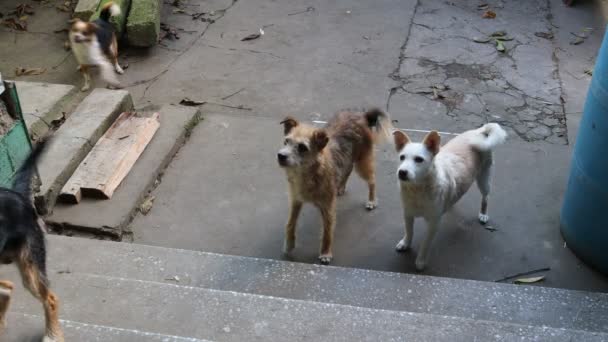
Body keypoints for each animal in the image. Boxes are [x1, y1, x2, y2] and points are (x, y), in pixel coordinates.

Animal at [278, 108, 392, 264]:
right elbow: (290, 223)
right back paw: (341, 186)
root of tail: (363, 116)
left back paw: (371, 200)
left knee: (372, 180)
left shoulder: (328, 207)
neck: (309, 173)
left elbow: (327, 231)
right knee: (348, 169)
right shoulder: (296, 200)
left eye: (302, 147)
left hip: (363, 162)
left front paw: (325, 253)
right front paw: (289, 244)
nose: (280, 156)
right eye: (286, 141)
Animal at [392, 123, 506, 270]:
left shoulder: (433, 223)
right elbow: (409, 231)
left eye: (419, 159)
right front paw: (405, 243)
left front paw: (421, 260)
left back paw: (483, 214)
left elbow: (425, 244)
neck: (418, 190)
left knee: (486, 197)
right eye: (402, 157)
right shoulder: (408, 214)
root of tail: (479, 131)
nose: (402, 172)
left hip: (484, 179)